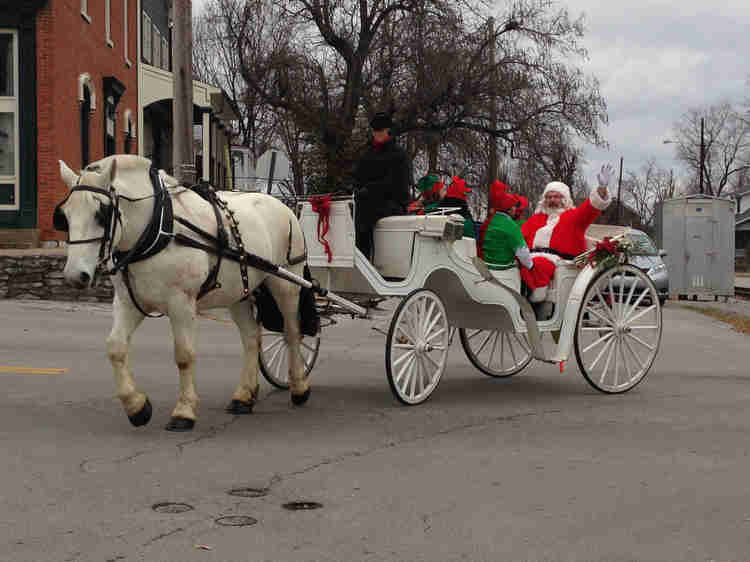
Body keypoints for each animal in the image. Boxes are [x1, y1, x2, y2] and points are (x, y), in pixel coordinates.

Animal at [54, 153, 310, 428]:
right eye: (65, 216)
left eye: (101, 213)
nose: (75, 276)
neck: (157, 230)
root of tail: (283, 206)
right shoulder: (128, 303)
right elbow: (115, 348)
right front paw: (137, 407)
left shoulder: (181, 302)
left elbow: (184, 355)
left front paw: (184, 411)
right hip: (238, 293)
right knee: (252, 337)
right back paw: (243, 396)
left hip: (286, 283)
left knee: (292, 333)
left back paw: (299, 388)